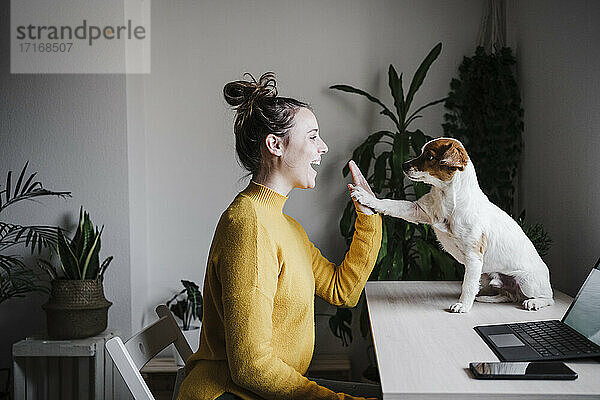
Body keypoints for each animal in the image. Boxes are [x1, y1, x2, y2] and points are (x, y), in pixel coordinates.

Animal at [352, 138, 552, 312]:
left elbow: (467, 285)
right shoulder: (417, 210)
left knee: (546, 299)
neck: (446, 197)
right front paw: (366, 197)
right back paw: (488, 297)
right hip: (487, 274)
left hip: (526, 282)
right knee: (508, 295)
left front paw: (463, 305)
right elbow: (390, 204)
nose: (403, 165)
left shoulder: (473, 257)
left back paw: (534, 302)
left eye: (429, 156)